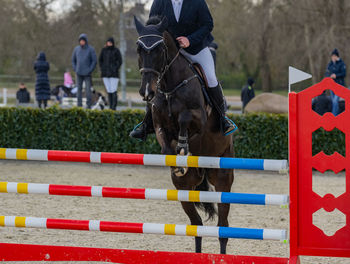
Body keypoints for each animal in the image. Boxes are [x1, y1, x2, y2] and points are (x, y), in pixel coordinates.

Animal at [135, 16, 234, 254]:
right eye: (139, 49)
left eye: (160, 49)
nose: (146, 92)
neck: (169, 85)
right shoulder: (159, 125)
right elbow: (165, 144)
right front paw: (177, 159)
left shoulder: (198, 119)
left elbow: (184, 119)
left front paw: (182, 145)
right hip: (185, 189)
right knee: (196, 224)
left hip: (223, 178)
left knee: (223, 226)